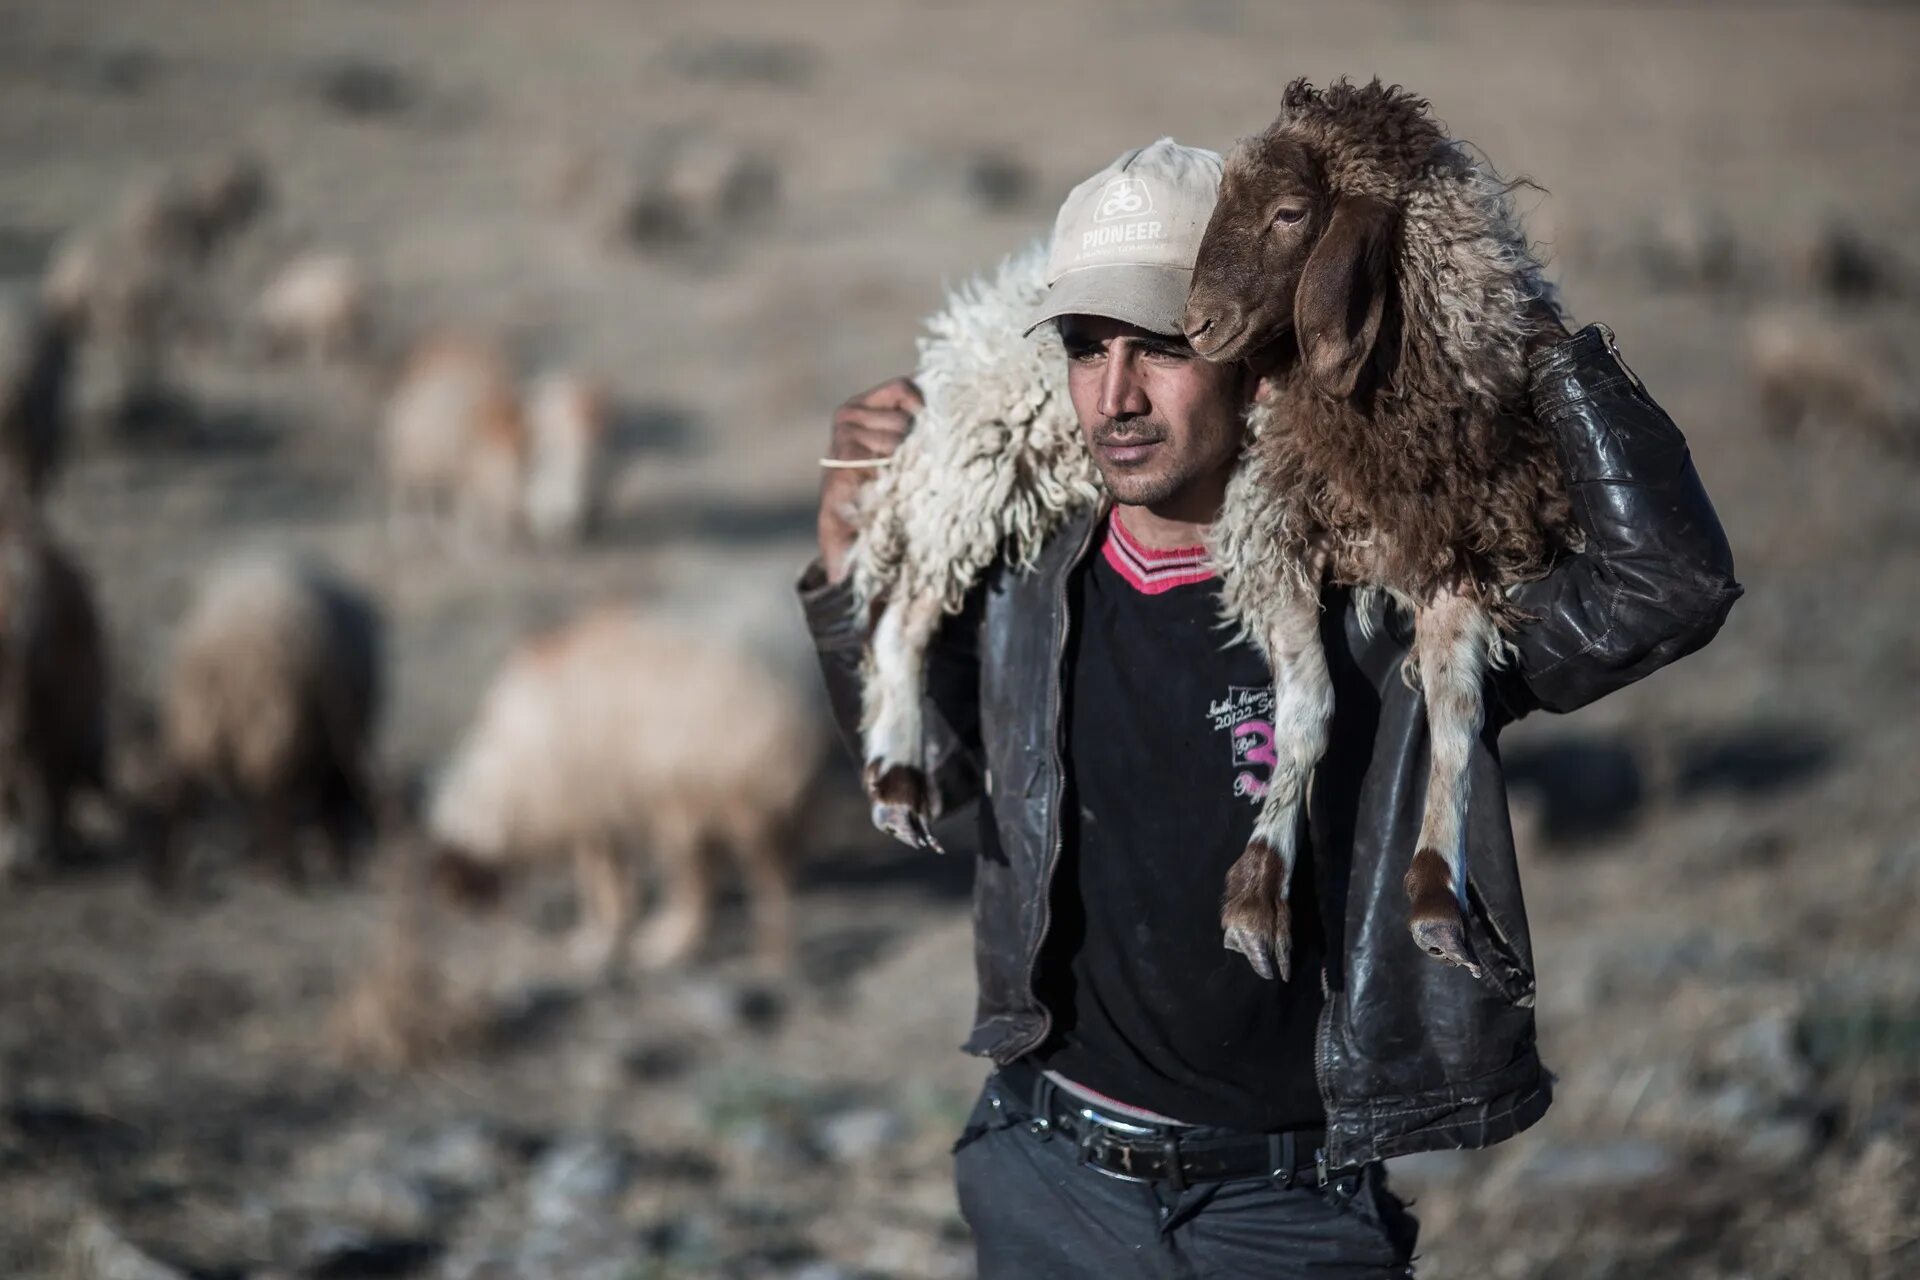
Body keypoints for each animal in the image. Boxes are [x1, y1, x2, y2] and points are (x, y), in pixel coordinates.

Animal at [149, 552, 382, 890]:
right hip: (272, 721)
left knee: (181, 790)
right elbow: (330, 797)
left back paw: (166, 876)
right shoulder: (335, 735)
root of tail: (228, 652)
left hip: (194, 719)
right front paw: (337, 861)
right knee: (274, 793)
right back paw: (289, 870)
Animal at [380, 333, 526, 545]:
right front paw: (468, 539)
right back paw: (403, 530)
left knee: (426, 493)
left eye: (522, 446)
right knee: (404, 493)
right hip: (406, 462)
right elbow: (468, 508)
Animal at [428, 606, 817, 974]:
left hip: (697, 795)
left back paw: (676, 947)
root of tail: (794, 739)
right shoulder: (605, 807)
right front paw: (612, 931)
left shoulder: (582, 803)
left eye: (458, 873)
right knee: (755, 877)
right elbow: (614, 875)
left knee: (714, 883)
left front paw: (594, 941)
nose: (464, 918)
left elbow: (596, 879)